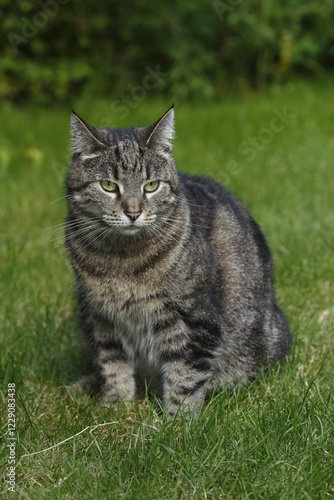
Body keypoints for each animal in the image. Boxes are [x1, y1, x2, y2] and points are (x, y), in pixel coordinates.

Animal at [65, 104, 290, 414]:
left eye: (151, 185)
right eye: (108, 185)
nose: (133, 212)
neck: (120, 261)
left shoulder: (192, 319)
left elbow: (185, 374)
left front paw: (176, 420)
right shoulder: (100, 317)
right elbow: (112, 365)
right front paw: (115, 406)